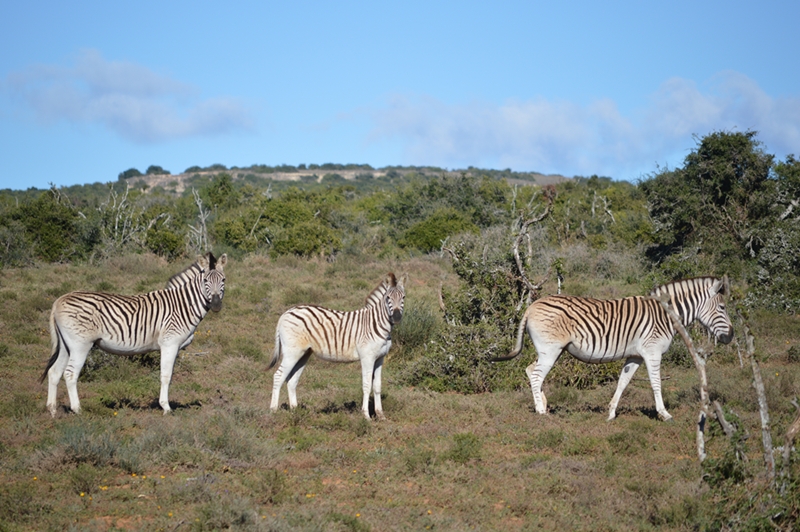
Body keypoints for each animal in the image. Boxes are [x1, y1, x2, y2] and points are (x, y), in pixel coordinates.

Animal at [40, 252, 228, 417]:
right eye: (205, 280)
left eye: (224, 280)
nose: (216, 305)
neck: (182, 306)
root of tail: (59, 300)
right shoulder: (169, 344)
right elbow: (166, 376)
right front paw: (166, 408)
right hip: (80, 345)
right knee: (70, 374)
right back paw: (77, 410)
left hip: (66, 345)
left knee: (55, 372)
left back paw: (52, 410)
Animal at [269, 272, 407, 420]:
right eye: (388, 298)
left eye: (403, 297)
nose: (397, 318)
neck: (377, 324)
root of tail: (286, 312)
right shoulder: (367, 358)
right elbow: (367, 385)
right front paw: (366, 415)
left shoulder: (380, 358)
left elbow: (377, 386)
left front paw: (380, 415)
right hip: (292, 352)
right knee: (278, 376)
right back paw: (273, 411)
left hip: (303, 354)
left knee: (292, 380)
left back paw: (295, 411)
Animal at [493, 277, 734, 421]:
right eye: (722, 307)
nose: (731, 336)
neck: (665, 315)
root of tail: (532, 305)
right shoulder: (652, 352)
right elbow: (656, 383)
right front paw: (664, 413)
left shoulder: (635, 356)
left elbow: (623, 382)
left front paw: (610, 412)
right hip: (550, 350)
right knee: (536, 375)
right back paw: (541, 411)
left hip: (552, 350)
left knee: (530, 370)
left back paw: (543, 404)